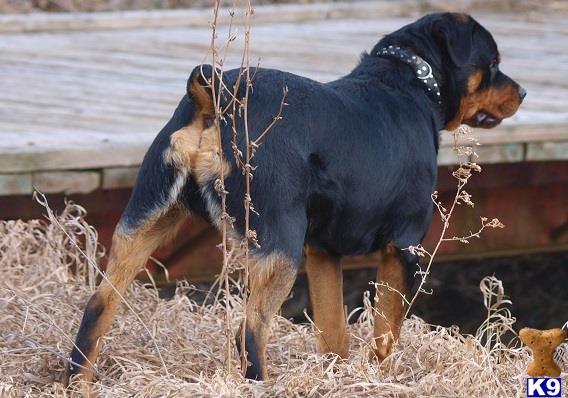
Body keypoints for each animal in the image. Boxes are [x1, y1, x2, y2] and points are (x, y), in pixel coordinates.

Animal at [65, 12, 524, 384]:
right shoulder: (403, 248)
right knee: (249, 331)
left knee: (97, 307)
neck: (410, 83)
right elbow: (386, 336)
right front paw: (382, 378)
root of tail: (217, 94)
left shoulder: (322, 252)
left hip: (144, 222)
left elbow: (334, 332)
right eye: (494, 64)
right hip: (277, 244)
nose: (521, 92)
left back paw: (78, 382)